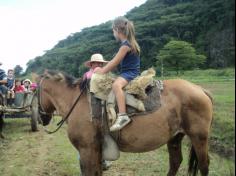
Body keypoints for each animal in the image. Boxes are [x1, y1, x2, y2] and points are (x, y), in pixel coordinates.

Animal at [37, 71, 213, 175]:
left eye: (34, 91)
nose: (41, 118)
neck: (77, 102)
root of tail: (200, 89)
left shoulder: (87, 149)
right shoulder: (96, 150)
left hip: (199, 137)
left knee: (204, 165)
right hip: (175, 137)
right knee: (175, 162)